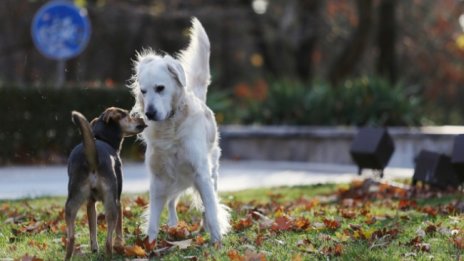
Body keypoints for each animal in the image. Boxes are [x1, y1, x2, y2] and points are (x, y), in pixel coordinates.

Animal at [64, 107, 146, 258]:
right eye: (128, 115)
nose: (142, 118)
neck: (102, 138)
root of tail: (92, 159)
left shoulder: (90, 203)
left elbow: (93, 229)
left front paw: (94, 249)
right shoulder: (119, 202)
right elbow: (119, 230)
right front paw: (120, 244)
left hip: (72, 203)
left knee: (71, 238)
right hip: (111, 202)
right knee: (108, 241)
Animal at [129, 17, 230, 242]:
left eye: (160, 88)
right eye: (143, 91)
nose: (149, 113)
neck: (170, 128)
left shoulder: (201, 173)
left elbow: (211, 209)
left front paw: (217, 240)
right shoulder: (158, 178)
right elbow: (154, 218)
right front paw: (150, 244)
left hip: (211, 172)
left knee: (206, 203)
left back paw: (203, 227)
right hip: (174, 180)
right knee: (171, 202)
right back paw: (174, 225)